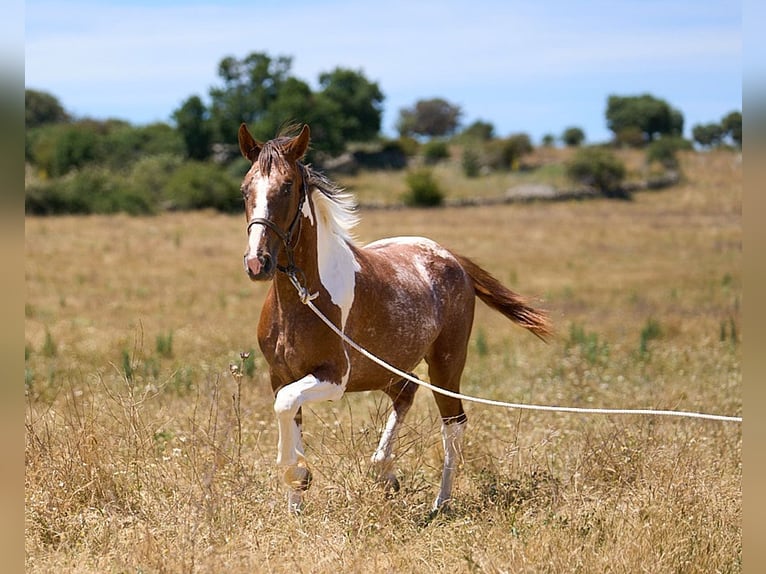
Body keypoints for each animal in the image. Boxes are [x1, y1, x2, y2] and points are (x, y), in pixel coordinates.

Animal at [238, 124, 552, 516]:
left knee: (454, 425)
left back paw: (440, 504)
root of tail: (451, 258)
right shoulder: (280, 375)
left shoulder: (334, 377)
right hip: (388, 368)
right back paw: (386, 472)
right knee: (407, 393)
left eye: (287, 186)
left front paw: (299, 475)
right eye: (245, 189)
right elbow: (288, 413)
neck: (302, 297)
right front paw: (295, 506)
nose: (257, 263)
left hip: (446, 364)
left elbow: (285, 407)